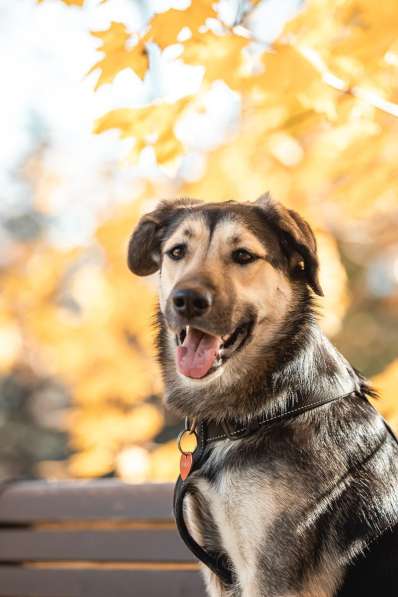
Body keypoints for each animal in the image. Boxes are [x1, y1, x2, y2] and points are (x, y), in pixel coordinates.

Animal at [127, 196, 398, 596]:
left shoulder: (270, 573)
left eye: (243, 256)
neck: (273, 407)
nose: (187, 300)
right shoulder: (221, 574)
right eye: (177, 252)